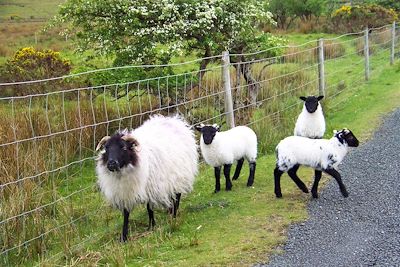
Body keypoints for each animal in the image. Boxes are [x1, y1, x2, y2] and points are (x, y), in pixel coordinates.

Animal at [95, 115, 198, 243]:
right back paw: (170, 211)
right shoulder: (125, 192)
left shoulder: (150, 187)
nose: (111, 164)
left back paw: (173, 215)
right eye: (107, 148)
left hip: (179, 175)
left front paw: (151, 226)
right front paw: (124, 237)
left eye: (123, 147)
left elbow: (149, 208)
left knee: (177, 196)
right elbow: (126, 214)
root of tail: (174, 120)